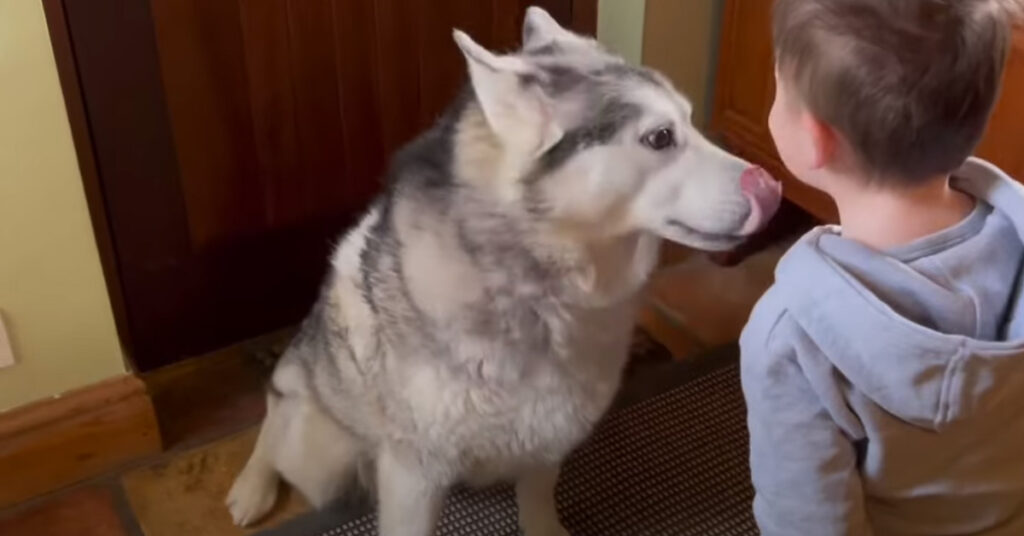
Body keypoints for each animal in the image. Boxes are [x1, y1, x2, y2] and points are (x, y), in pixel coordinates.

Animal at [228, 6, 778, 532]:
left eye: (690, 120)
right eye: (661, 137)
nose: (772, 189)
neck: (544, 293)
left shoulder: (549, 439)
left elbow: (537, 505)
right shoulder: (414, 475)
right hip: (320, 455)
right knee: (274, 418)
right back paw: (252, 483)